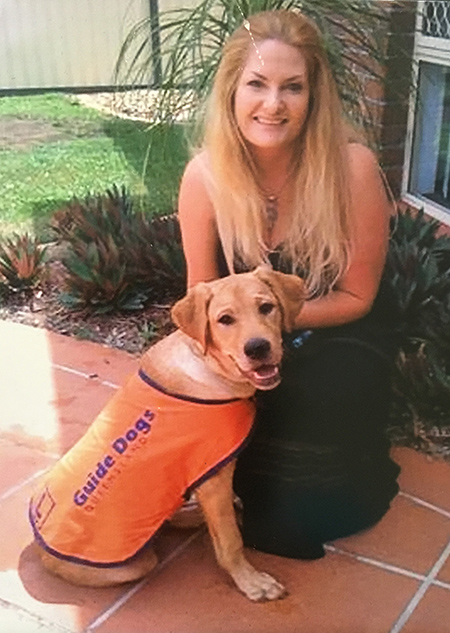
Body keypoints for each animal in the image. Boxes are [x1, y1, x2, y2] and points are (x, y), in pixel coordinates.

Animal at [29, 264, 306, 600]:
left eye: (266, 307)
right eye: (225, 320)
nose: (258, 348)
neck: (207, 366)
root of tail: (40, 548)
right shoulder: (214, 480)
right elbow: (230, 541)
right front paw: (251, 582)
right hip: (135, 563)